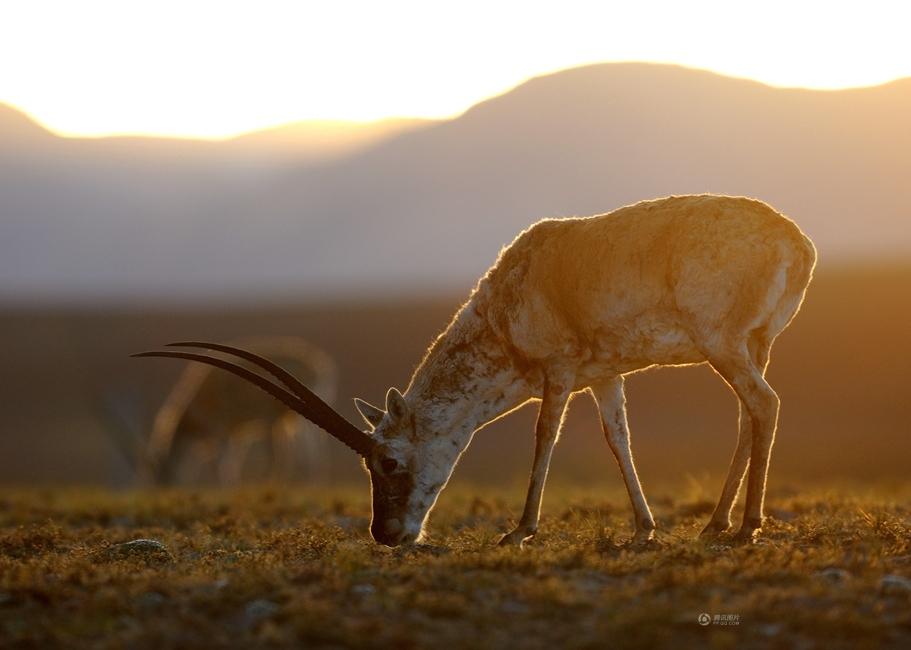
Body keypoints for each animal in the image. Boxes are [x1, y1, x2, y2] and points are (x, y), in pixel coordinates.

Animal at [137, 195, 820, 544]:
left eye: (388, 461)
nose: (387, 534)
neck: (508, 294)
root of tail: (795, 240)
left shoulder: (558, 371)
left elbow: (545, 437)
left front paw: (519, 530)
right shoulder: (605, 376)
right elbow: (616, 438)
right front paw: (645, 529)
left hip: (724, 344)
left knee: (765, 405)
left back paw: (744, 527)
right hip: (750, 346)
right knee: (749, 415)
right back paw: (715, 524)